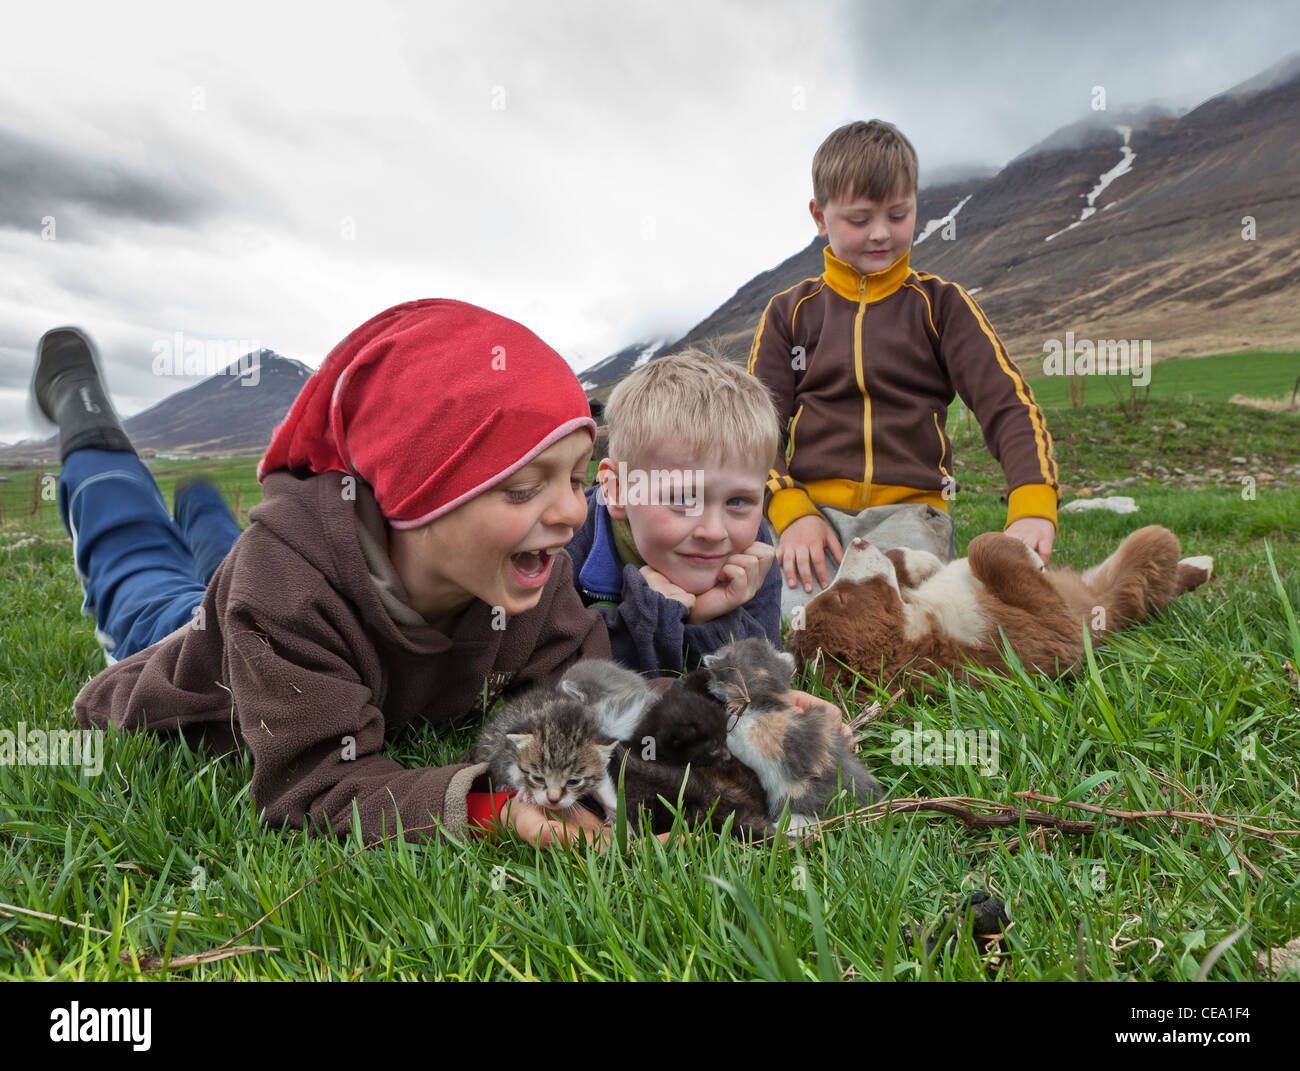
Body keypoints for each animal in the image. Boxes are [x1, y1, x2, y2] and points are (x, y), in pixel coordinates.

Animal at [467, 686, 618, 821]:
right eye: (538, 778)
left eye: (573, 782)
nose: (553, 799)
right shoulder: (509, 752)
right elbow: (514, 771)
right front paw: (527, 792)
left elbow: (604, 786)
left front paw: (616, 816)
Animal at [785, 527, 1211, 696]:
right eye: (840, 599)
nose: (856, 540)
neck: (921, 625)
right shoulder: (1044, 633)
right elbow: (984, 546)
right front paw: (1029, 556)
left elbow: (905, 561)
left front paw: (923, 562)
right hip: (1131, 573)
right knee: (1155, 569)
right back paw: (1202, 565)